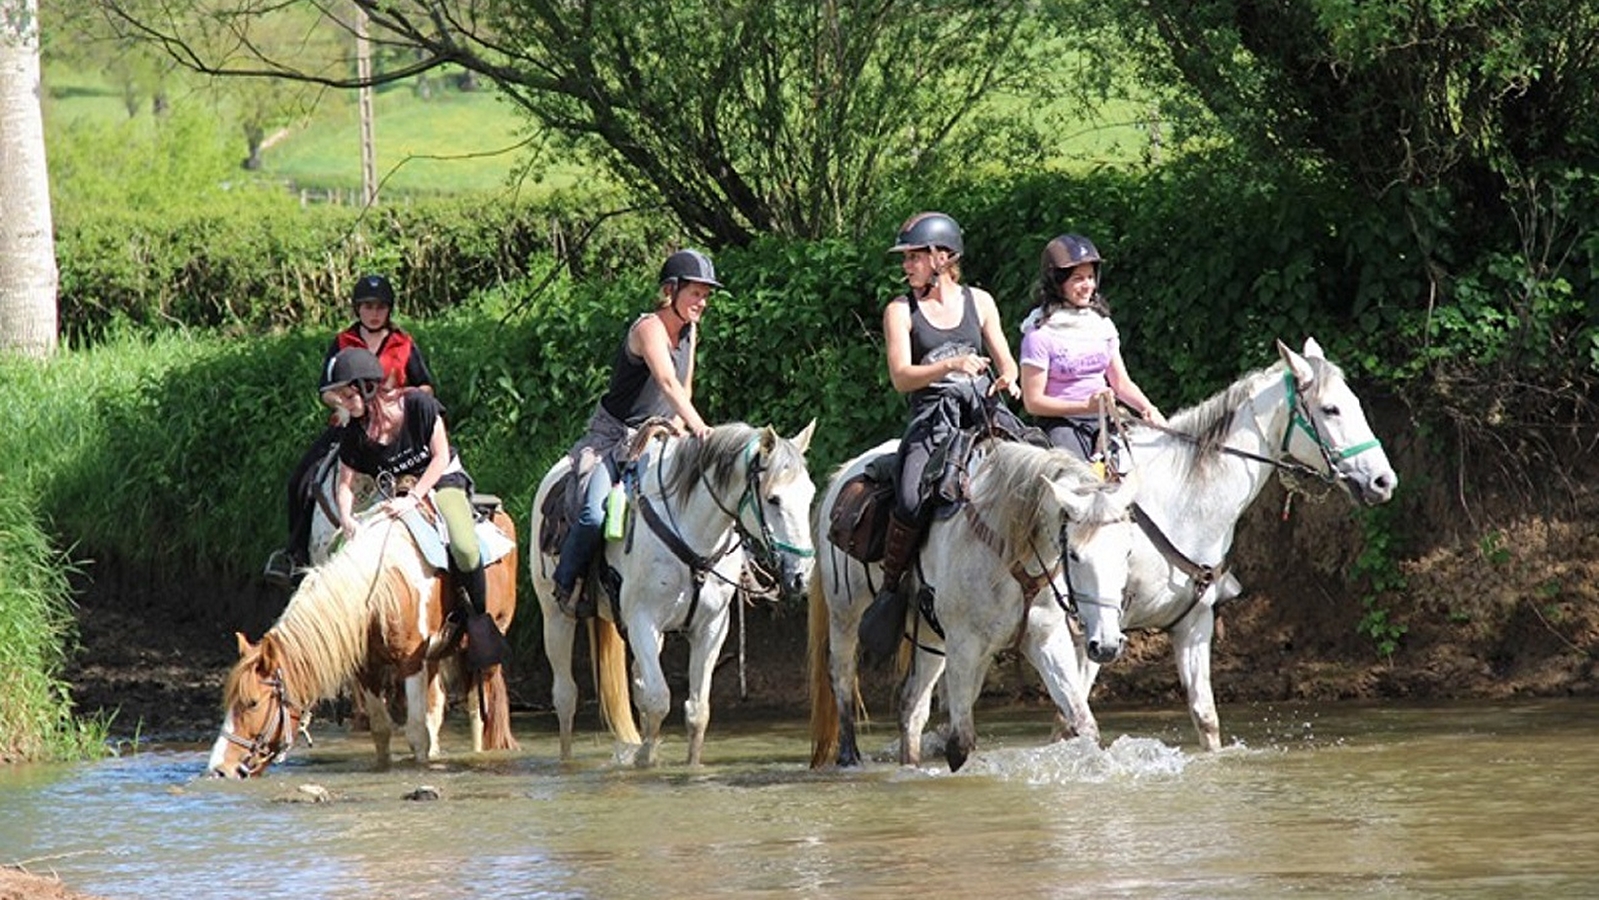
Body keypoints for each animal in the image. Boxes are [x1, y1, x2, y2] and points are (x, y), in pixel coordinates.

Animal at [207, 508, 518, 783]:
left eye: (252, 702)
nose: (219, 770)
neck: (379, 591)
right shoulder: (369, 670)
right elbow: (382, 730)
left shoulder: (411, 664)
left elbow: (417, 733)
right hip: (435, 658)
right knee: (436, 710)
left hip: (480, 652)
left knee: (477, 713)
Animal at [534, 422, 818, 767]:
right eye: (773, 499)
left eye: (810, 495)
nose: (801, 575)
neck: (692, 535)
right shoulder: (642, 621)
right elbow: (659, 699)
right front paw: (645, 761)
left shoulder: (711, 628)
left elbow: (696, 711)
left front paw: (688, 766)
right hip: (555, 617)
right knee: (566, 697)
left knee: (637, 687)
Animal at [812, 441, 1138, 770]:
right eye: (1073, 554)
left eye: (1127, 551)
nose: (1107, 646)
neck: (1011, 551)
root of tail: (846, 472)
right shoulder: (964, 645)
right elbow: (960, 745)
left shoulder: (1045, 641)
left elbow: (1083, 724)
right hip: (845, 616)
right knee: (842, 676)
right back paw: (849, 756)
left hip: (931, 639)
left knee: (912, 707)